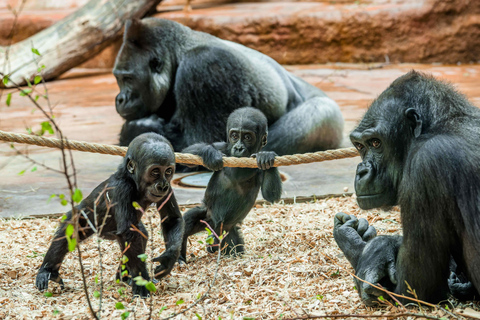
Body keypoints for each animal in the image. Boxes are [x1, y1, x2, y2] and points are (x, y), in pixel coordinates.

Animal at [35, 132, 185, 298]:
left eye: (168, 171)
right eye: (155, 171)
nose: (163, 185)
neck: (133, 181)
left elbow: (171, 219)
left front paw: (168, 260)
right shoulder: (121, 189)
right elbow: (129, 234)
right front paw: (142, 284)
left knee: (141, 234)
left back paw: (124, 276)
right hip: (83, 216)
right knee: (67, 235)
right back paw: (48, 271)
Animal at [114, 17, 344, 155]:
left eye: (128, 79)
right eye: (118, 78)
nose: (120, 99)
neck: (178, 53)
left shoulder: (204, 65)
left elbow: (200, 143)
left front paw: (136, 130)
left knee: (316, 114)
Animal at [334, 71, 480, 306]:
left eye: (376, 143)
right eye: (360, 146)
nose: (362, 170)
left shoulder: (424, 164)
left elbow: (413, 290)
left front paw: (368, 248)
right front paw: (367, 238)